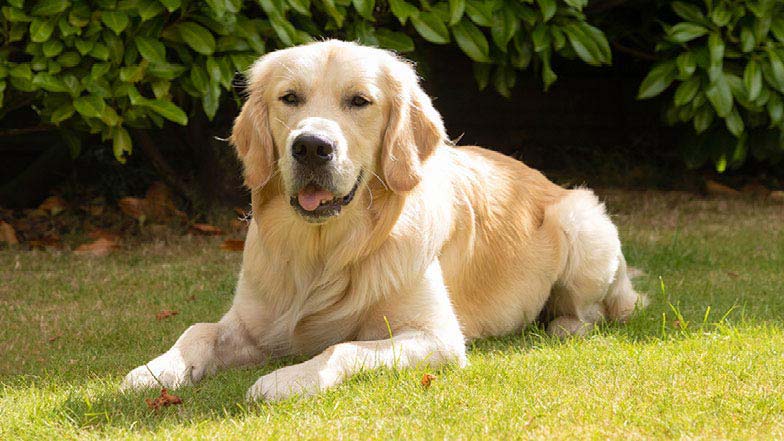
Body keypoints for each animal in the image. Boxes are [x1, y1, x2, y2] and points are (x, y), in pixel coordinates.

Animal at [119, 39, 640, 400]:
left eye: (359, 101)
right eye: (290, 98)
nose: (311, 147)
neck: (325, 253)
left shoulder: (436, 337)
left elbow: (340, 347)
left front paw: (285, 380)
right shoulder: (254, 322)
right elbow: (198, 329)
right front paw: (155, 370)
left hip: (583, 222)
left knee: (597, 311)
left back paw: (564, 325)